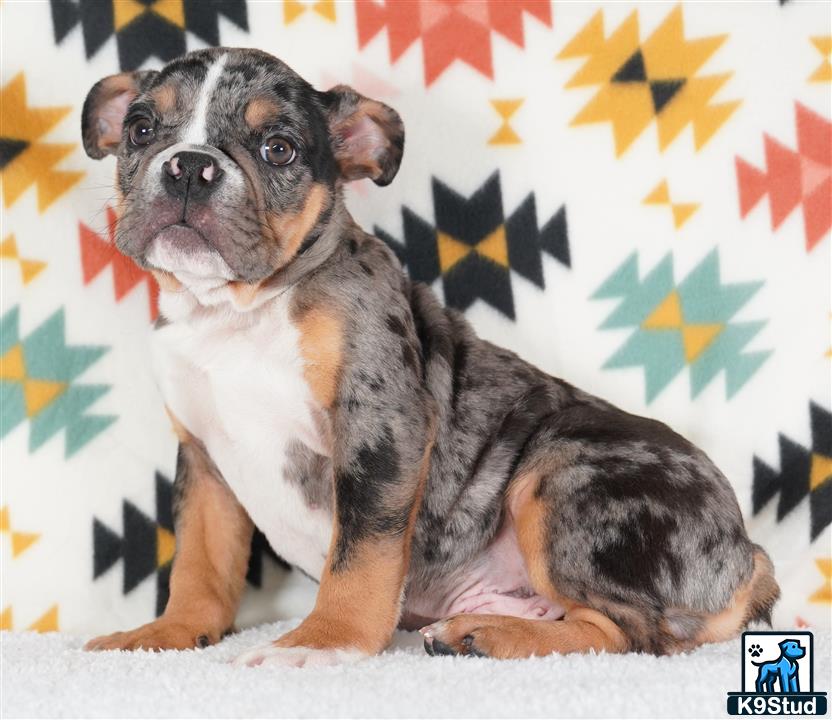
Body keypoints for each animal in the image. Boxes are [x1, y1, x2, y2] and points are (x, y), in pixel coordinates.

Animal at [79, 47, 780, 668]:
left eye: (278, 148)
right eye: (141, 129)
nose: (189, 166)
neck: (236, 312)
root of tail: (747, 559)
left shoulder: (379, 425)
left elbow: (360, 555)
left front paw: (322, 641)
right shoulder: (202, 460)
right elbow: (199, 563)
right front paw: (168, 631)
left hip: (562, 471)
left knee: (628, 631)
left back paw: (488, 637)